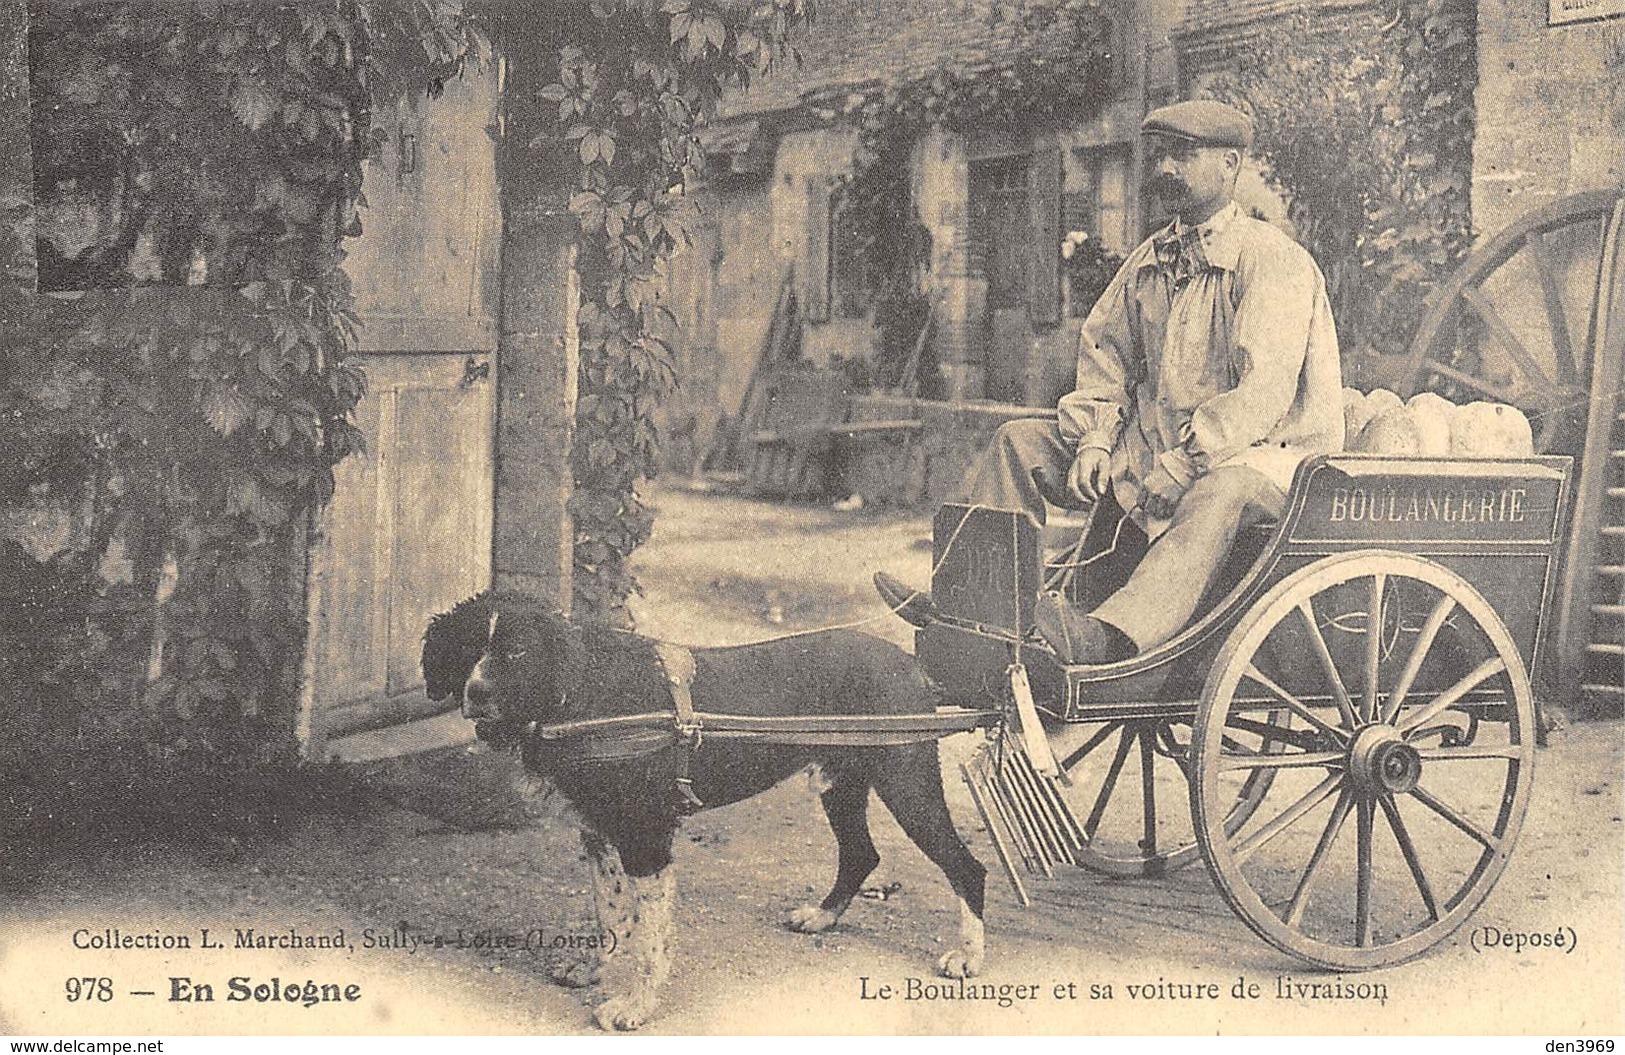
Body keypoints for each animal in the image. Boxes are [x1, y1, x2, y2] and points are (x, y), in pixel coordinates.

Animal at [419, 591, 981, 1027]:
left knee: (966, 867)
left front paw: (635, 1007)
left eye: (516, 652)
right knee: (862, 854)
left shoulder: (647, 841)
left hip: (907, 783)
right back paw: (822, 917)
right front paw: (593, 970)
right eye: (465, 648)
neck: (581, 693)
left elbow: (651, 940)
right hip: (840, 783)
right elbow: (611, 913)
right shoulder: (598, 833)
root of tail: (912, 664)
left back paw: (969, 957)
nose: (476, 694)